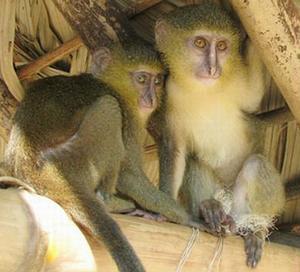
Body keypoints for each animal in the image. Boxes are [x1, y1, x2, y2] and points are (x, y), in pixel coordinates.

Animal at [2, 37, 211, 270]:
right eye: (141, 79)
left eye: (157, 81)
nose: (151, 98)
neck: (112, 85)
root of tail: (36, 170)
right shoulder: (128, 116)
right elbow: (128, 175)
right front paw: (186, 218)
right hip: (77, 158)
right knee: (108, 108)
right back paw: (111, 202)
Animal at [152, 2, 286, 268]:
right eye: (200, 43)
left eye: (222, 46)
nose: (213, 68)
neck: (204, 90)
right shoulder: (169, 97)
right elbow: (175, 149)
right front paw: (165, 211)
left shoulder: (238, 81)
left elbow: (255, 98)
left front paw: (251, 34)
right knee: (196, 162)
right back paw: (210, 209)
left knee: (256, 164)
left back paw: (253, 230)